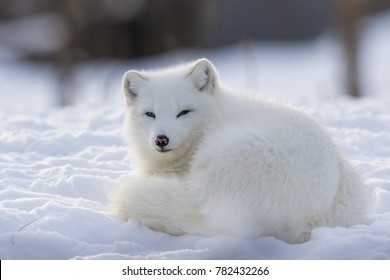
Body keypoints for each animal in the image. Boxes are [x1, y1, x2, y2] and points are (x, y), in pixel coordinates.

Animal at [110, 57, 372, 243]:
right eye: (150, 114)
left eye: (184, 112)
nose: (161, 140)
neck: (213, 118)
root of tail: (309, 218)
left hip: (223, 154)